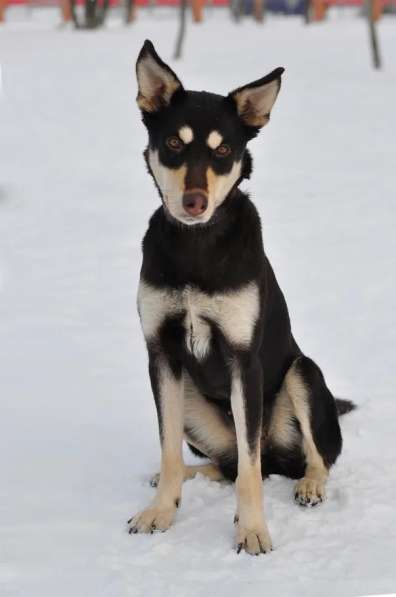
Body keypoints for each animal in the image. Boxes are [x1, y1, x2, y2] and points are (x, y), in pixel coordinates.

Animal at [127, 40, 356, 556]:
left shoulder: (242, 359)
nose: (194, 201)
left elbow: (251, 471)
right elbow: (168, 449)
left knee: (303, 458)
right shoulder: (161, 355)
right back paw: (188, 476)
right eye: (174, 144)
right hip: (193, 400)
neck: (196, 246)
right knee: (226, 463)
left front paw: (251, 530)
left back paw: (309, 486)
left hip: (303, 373)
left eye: (224, 150)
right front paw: (160, 512)